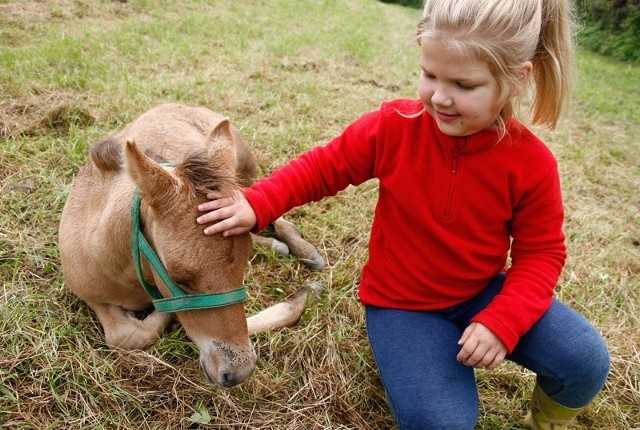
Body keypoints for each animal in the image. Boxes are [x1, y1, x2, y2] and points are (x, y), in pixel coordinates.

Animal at [60, 103, 324, 386]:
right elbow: (125, 337)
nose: (238, 373)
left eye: (244, 267)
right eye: (179, 279)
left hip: (243, 167)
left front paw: (307, 292)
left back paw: (305, 252)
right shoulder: (90, 295)